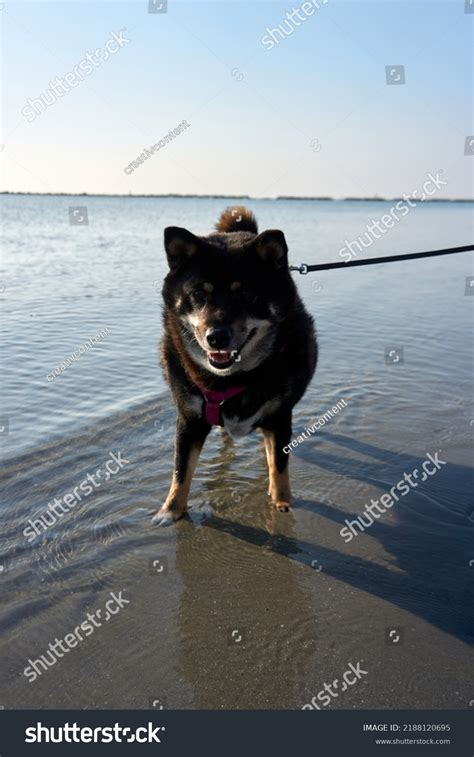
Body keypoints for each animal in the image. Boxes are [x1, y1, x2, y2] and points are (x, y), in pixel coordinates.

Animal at [154, 207, 316, 524]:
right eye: (198, 294)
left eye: (246, 294)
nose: (216, 337)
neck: (229, 379)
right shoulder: (189, 420)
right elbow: (181, 469)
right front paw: (171, 510)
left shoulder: (280, 416)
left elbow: (279, 464)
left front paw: (281, 502)